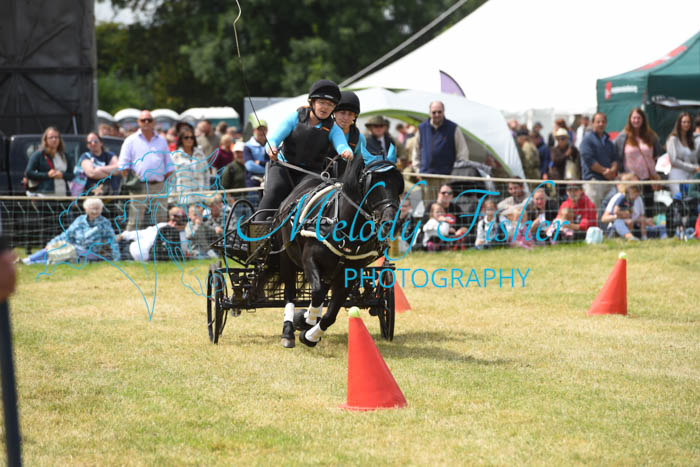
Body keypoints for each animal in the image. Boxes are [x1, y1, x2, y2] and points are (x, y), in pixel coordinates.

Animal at [272, 155, 405, 348]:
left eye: (398, 185)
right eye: (373, 184)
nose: (391, 223)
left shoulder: (348, 275)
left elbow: (331, 314)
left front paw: (309, 335)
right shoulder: (309, 260)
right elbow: (317, 293)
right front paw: (307, 320)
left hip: (330, 272)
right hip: (286, 257)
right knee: (290, 293)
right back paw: (288, 332)